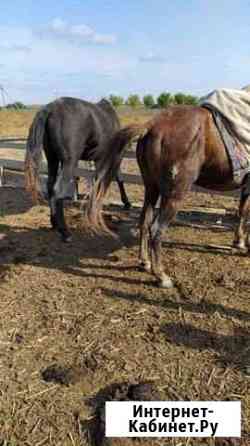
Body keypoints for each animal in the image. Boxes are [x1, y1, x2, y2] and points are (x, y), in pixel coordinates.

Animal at [25, 96, 131, 240]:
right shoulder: (113, 158)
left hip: (52, 159)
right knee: (57, 190)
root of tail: (51, 108)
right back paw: (64, 232)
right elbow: (117, 179)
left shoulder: (99, 160)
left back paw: (54, 223)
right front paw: (125, 202)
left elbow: (97, 182)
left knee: (50, 186)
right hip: (69, 162)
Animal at [86, 107, 250, 290]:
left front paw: (239, 242)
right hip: (175, 194)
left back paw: (144, 262)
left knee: (144, 222)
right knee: (156, 229)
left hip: (151, 188)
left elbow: (243, 211)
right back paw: (161, 276)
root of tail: (150, 126)